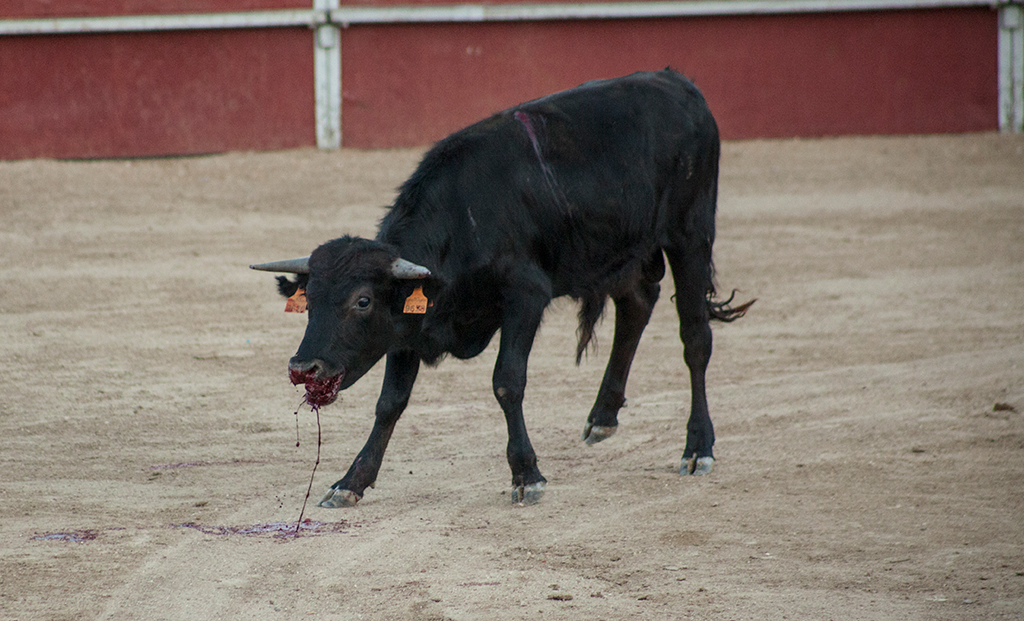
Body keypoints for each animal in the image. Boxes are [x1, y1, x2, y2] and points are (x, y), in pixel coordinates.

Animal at [253, 70, 753, 508]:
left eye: (363, 301)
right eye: (309, 302)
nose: (304, 367)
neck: (465, 220)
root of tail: (679, 83)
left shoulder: (525, 299)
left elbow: (507, 382)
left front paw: (526, 475)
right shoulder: (410, 327)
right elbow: (390, 402)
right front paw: (350, 482)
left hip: (689, 235)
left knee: (695, 338)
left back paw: (697, 447)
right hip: (626, 249)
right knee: (636, 305)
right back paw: (602, 419)